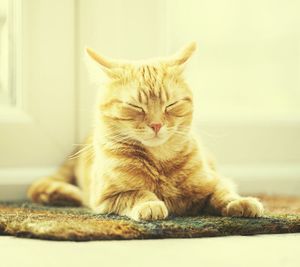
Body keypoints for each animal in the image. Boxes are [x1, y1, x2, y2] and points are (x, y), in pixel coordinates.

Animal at [28, 42, 262, 222]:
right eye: (135, 106)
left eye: (171, 105)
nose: (157, 124)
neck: (160, 161)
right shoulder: (106, 197)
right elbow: (137, 193)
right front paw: (151, 204)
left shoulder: (213, 182)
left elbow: (224, 193)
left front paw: (241, 202)